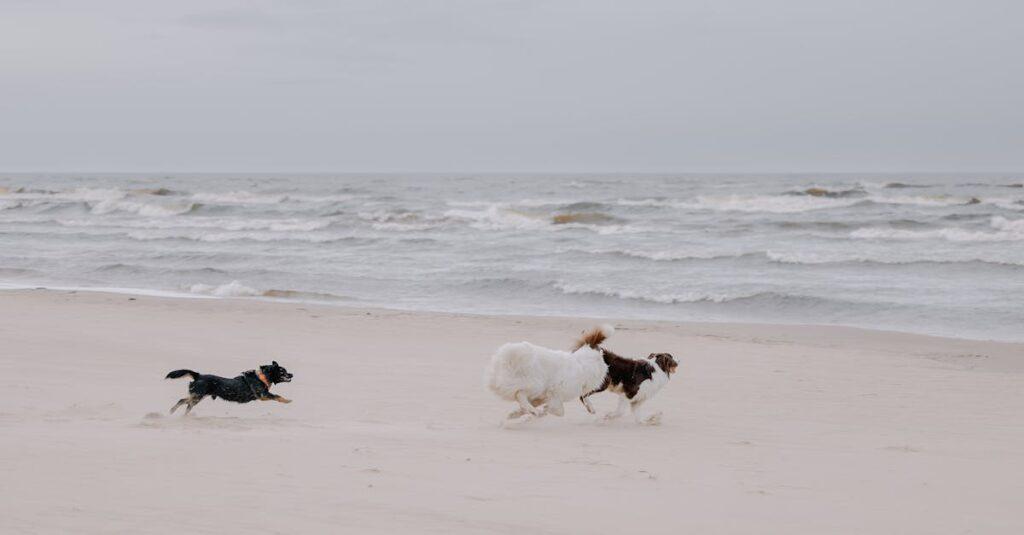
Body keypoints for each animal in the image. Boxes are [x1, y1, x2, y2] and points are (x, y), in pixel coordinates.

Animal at [163, 360, 292, 414]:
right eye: (282, 371)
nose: (292, 374)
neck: (262, 377)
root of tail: (198, 375)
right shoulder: (263, 395)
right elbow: (277, 396)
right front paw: (287, 400)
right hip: (197, 396)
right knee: (182, 401)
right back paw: (172, 412)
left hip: (198, 397)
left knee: (187, 404)